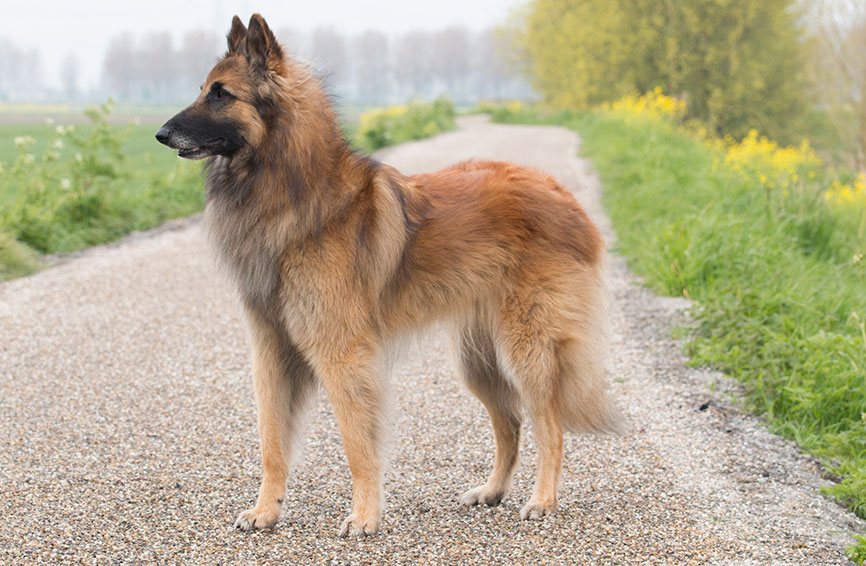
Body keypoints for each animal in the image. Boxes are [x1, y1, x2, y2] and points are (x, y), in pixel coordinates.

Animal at [154, 12, 616, 536]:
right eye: (203, 90)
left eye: (221, 94)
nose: (161, 134)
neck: (292, 192)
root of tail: (563, 194)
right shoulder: (271, 349)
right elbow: (271, 442)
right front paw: (266, 511)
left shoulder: (341, 353)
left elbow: (357, 443)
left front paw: (364, 516)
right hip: (479, 361)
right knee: (511, 425)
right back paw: (492, 491)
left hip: (526, 350)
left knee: (549, 426)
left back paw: (542, 501)